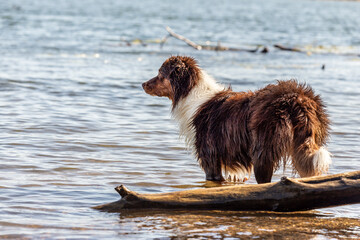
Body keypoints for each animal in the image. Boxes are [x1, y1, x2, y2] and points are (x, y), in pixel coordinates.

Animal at [141, 56, 332, 184]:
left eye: (160, 74)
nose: (142, 84)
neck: (190, 91)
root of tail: (296, 99)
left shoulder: (209, 155)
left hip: (262, 149)